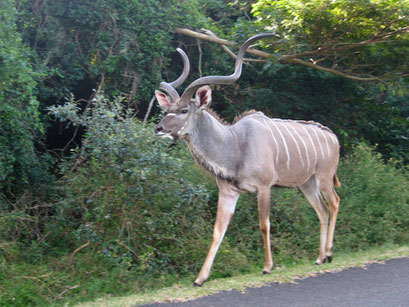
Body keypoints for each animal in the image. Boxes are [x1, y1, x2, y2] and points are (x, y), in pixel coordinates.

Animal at [153, 33, 338, 286]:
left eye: (183, 111)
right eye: (166, 110)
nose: (159, 129)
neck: (236, 144)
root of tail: (333, 137)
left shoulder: (264, 187)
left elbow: (264, 224)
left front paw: (267, 267)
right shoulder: (228, 192)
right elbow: (217, 231)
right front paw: (200, 278)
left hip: (324, 177)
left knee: (334, 203)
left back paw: (328, 253)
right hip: (306, 183)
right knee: (321, 210)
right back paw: (319, 258)